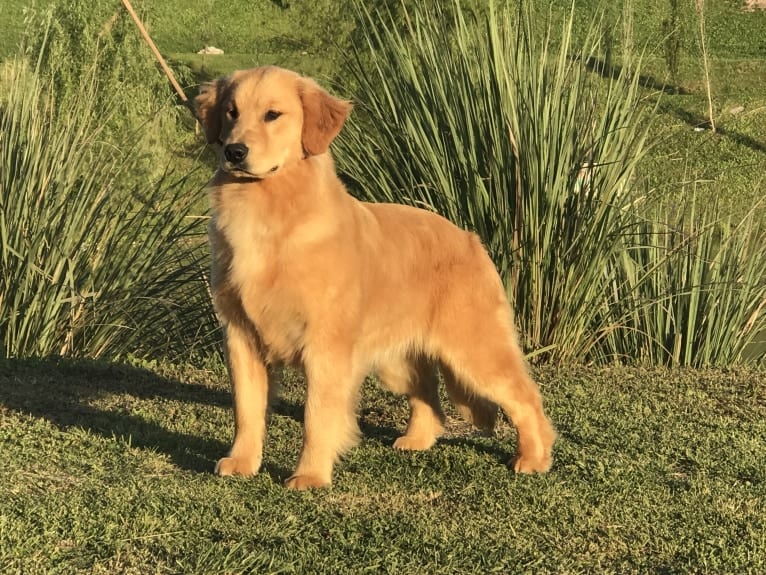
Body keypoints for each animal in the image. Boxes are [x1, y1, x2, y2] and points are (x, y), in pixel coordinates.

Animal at [196, 67, 560, 490]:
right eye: (231, 112)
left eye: (273, 115)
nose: (234, 152)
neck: (270, 215)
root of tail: (471, 239)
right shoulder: (241, 337)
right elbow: (247, 410)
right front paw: (242, 462)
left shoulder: (325, 346)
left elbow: (316, 416)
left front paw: (310, 475)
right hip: (397, 361)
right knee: (428, 397)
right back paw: (417, 440)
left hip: (475, 351)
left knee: (525, 397)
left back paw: (533, 457)